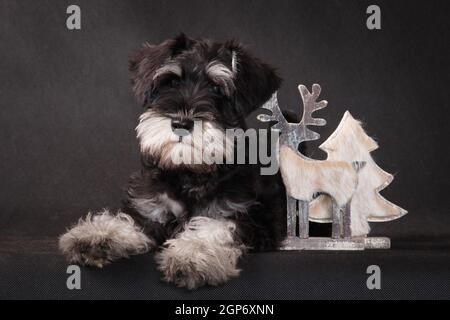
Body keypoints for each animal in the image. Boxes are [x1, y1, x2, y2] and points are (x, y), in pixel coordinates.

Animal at [59, 33, 284, 288]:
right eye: (171, 82)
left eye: (216, 87)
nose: (181, 123)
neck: (189, 172)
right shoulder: (150, 209)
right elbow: (128, 220)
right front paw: (95, 234)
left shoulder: (247, 218)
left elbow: (213, 227)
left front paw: (191, 255)